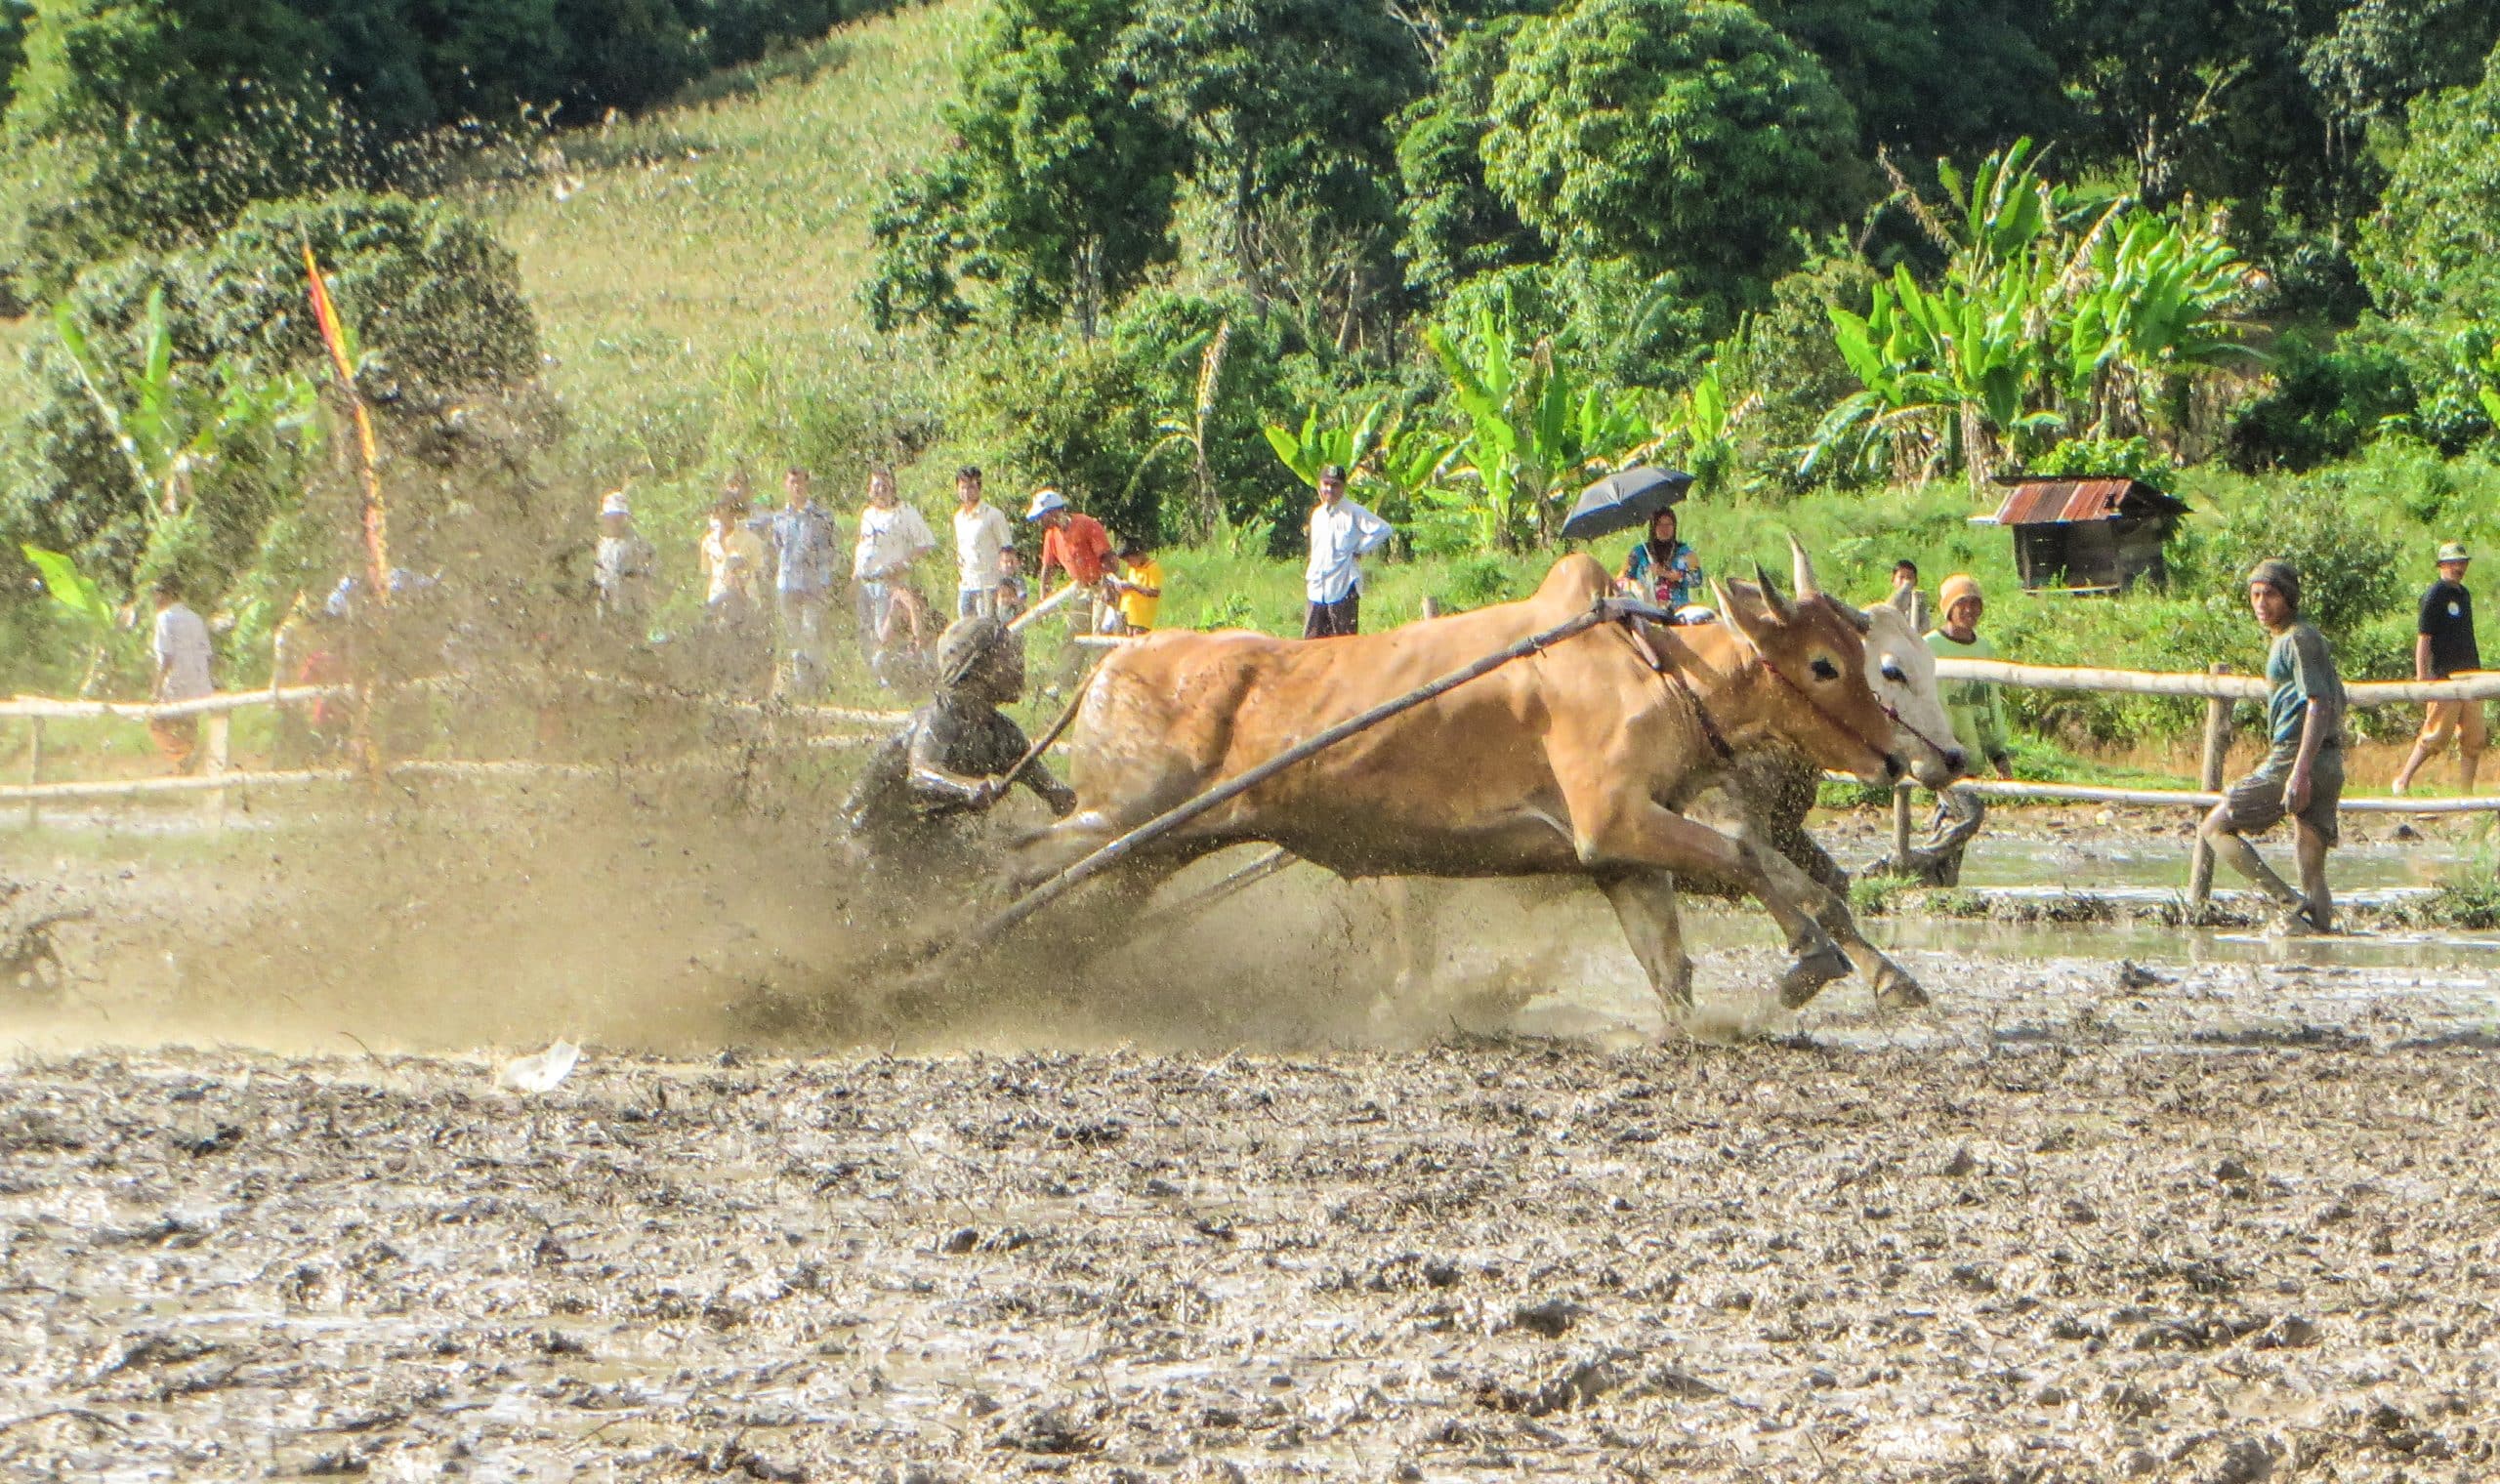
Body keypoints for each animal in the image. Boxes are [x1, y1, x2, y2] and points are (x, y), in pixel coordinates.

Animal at [1005, 549, 1899, 1024]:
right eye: (1823, 663)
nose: (1897, 756)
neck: (1656, 668)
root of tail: (1110, 665)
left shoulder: (1621, 856)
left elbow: (1671, 962)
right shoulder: (1614, 822)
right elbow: (1747, 858)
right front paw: (1813, 959)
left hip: (1160, 845)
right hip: (1118, 818)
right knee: (1020, 858)